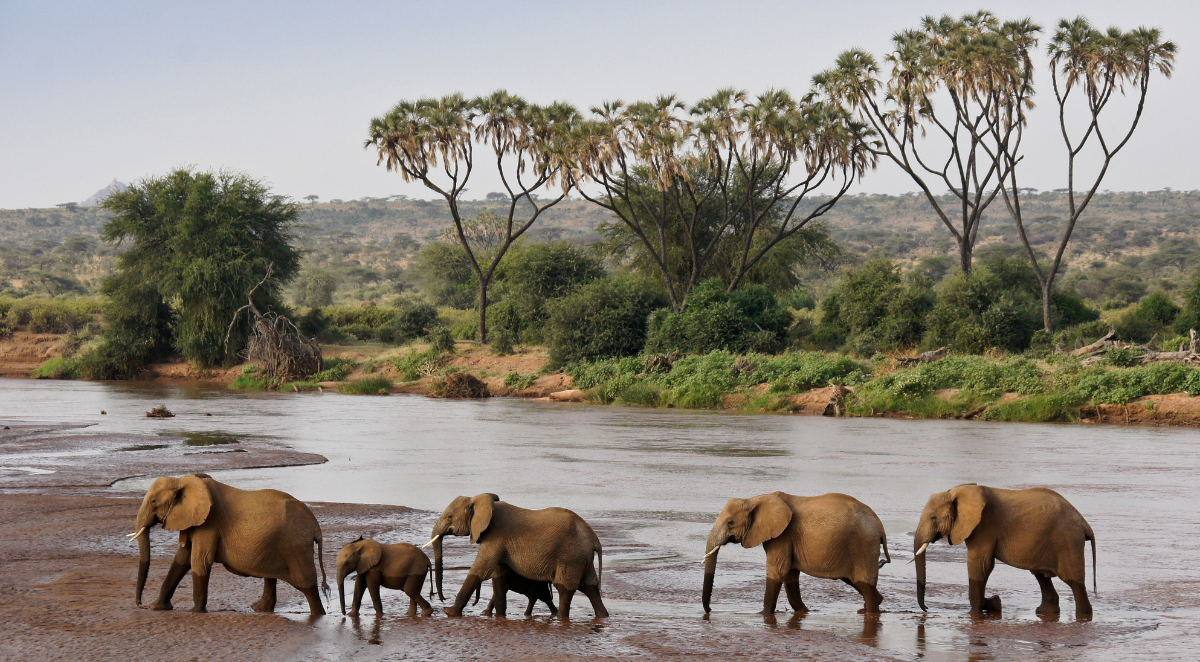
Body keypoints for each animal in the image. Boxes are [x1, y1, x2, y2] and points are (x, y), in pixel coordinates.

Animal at [130, 473, 329, 614]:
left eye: (153, 501)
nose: (140, 604)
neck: (182, 480)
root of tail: (315, 526)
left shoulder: (210, 523)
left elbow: (200, 561)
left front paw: (195, 612)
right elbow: (181, 559)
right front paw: (157, 607)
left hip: (296, 545)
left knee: (306, 582)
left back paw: (318, 615)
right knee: (271, 576)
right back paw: (259, 609)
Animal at [427, 493, 608, 619]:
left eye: (450, 516)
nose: (442, 599)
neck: (478, 500)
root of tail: (594, 539)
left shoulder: (496, 536)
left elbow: (481, 570)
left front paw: (449, 613)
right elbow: (499, 575)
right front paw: (499, 617)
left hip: (570, 558)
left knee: (564, 588)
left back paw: (562, 618)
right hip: (582, 558)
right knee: (590, 586)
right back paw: (603, 616)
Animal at [703, 492, 891, 615]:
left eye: (730, 522)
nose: (710, 610)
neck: (755, 499)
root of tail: (880, 527)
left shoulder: (782, 535)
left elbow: (778, 571)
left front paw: (763, 614)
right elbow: (790, 574)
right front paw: (803, 611)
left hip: (863, 546)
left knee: (863, 582)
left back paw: (871, 611)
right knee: (854, 580)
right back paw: (871, 606)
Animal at [911, 484, 1096, 619]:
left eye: (933, 517)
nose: (927, 608)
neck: (958, 491)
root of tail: (1083, 523)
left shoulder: (984, 526)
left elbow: (980, 565)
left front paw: (978, 611)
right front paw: (994, 603)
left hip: (1068, 541)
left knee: (1074, 581)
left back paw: (1083, 616)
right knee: (1041, 576)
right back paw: (1045, 612)